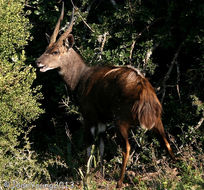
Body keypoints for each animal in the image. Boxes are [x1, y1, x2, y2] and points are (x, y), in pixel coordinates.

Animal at [35, 2, 175, 188]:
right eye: (46, 48)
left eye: (56, 51)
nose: (38, 62)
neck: (81, 78)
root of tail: (144, 90)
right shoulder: (102, 120)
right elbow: (101, 147)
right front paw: (99, 174)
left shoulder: (89, 116)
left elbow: (89, 146)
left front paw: (86, 177)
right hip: (157, 120)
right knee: (167, 143)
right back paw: (177, 172)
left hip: (121, 120)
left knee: (127, 147)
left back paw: (119, 182)